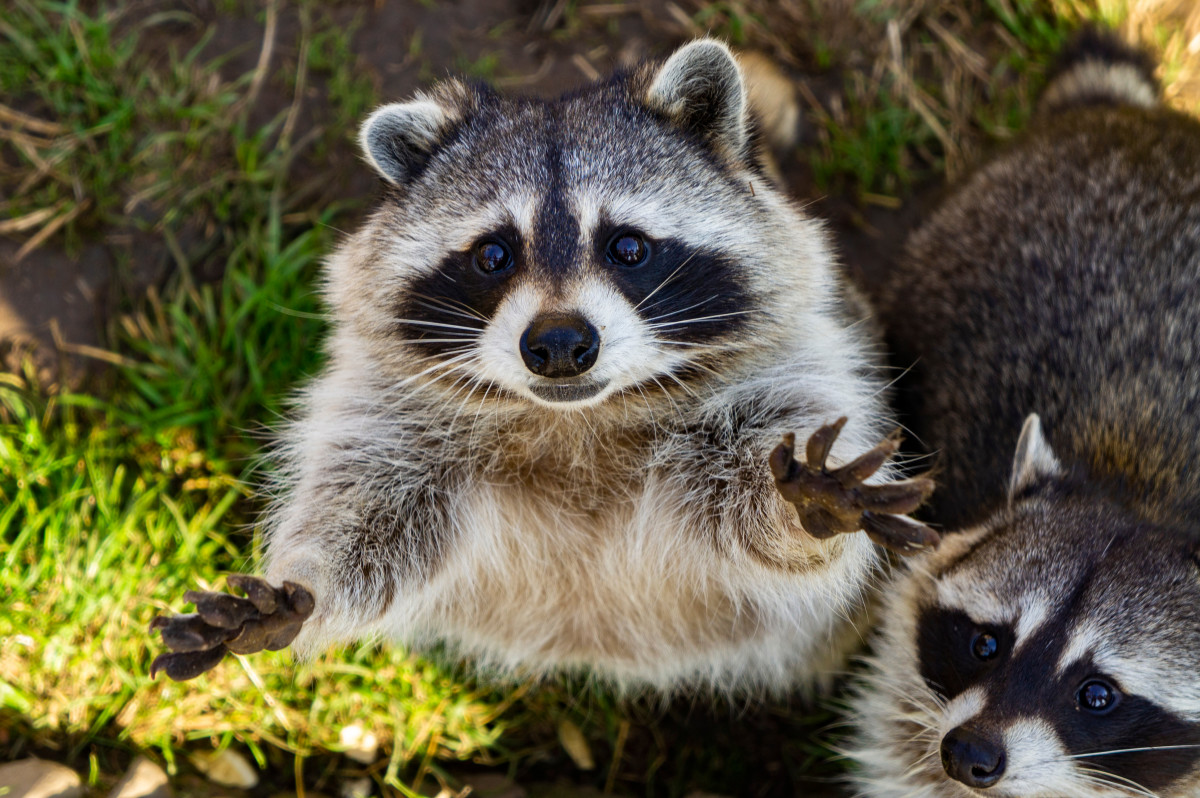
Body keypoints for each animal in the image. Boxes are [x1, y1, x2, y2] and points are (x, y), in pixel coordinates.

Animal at [148, 40, 934, 692]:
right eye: (494, 254)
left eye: (627, 246)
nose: (558, 344)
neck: (577, 419)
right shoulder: (392, 420)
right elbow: (365, 524)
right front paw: (302, 593)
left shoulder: (785, 372)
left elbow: (779, 515)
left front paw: (803, 509)